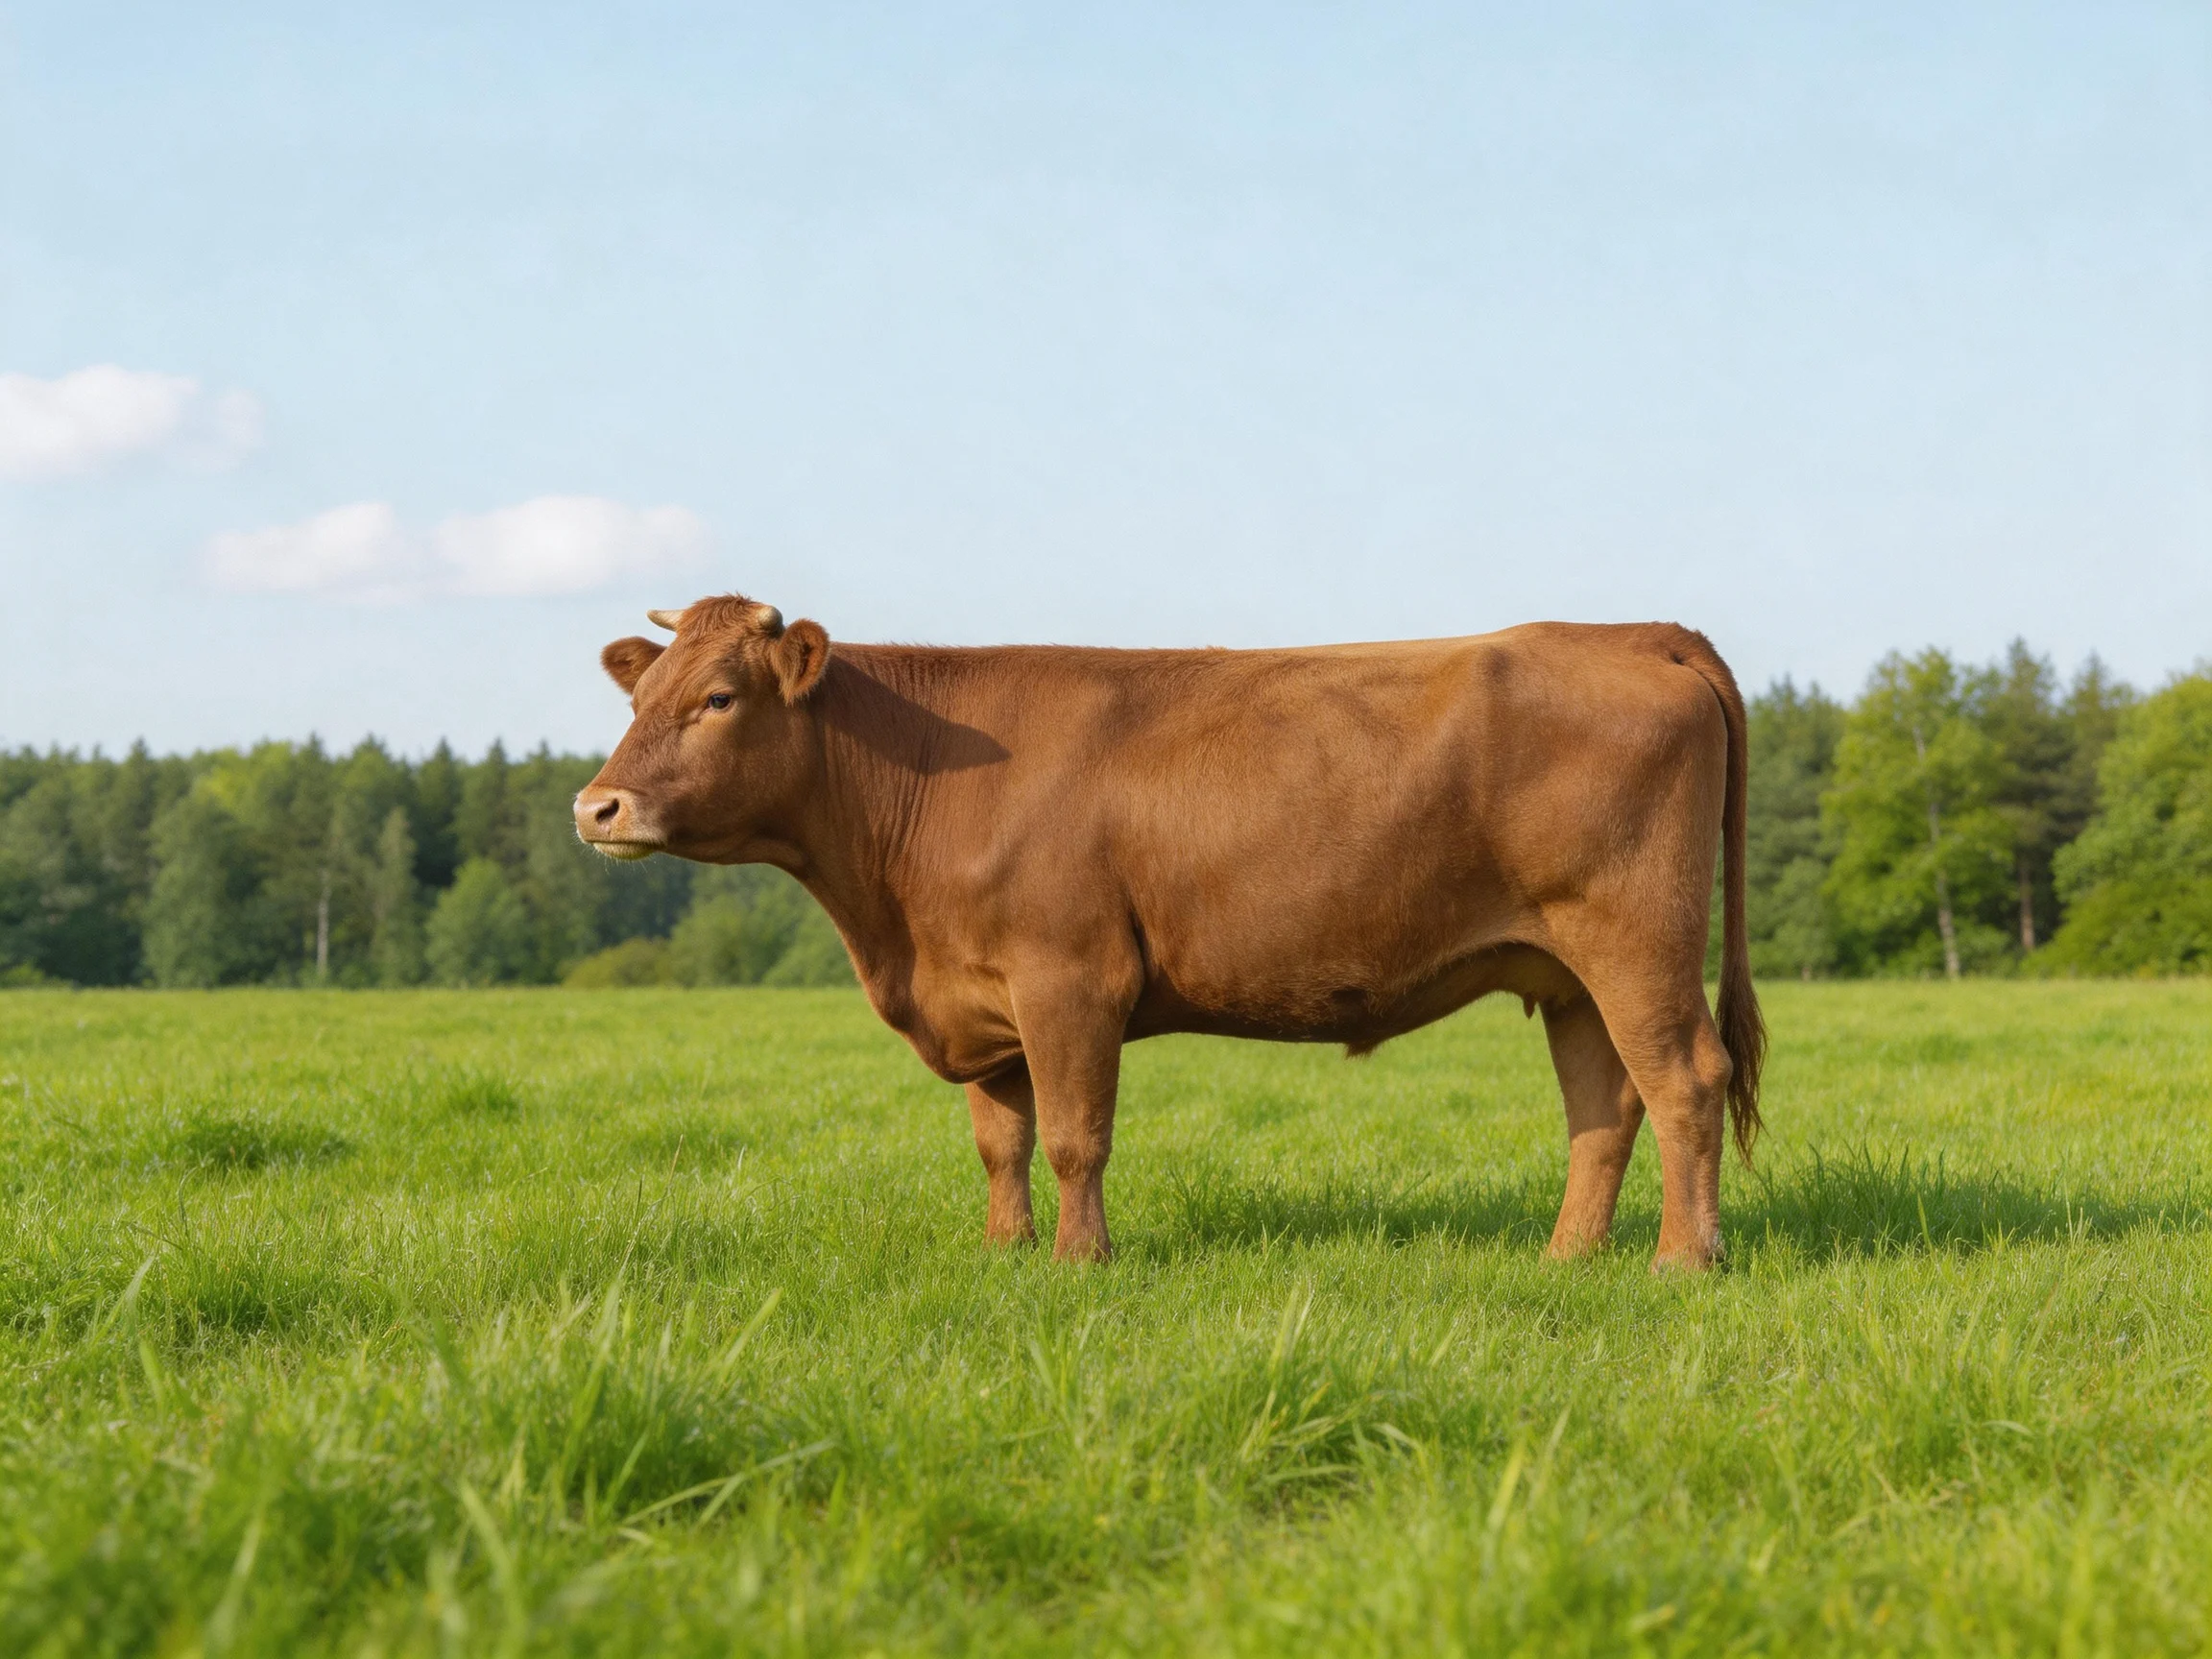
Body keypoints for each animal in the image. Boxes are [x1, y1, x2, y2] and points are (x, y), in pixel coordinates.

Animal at [575, 595, 1765, 1270]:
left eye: (719, 698)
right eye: (641, 697)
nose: (597, 807)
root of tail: (1640, 635)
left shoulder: (1068, 980)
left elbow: (1073, 1136)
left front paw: (1078, 1265)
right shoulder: (982, 998)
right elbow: (1000, 1140)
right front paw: (1004, 1254)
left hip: (1636, 941)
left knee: (1685, 1081)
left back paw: (1682, 1261)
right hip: (1568, 972)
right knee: (1606, 1107)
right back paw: (1569, 1259)